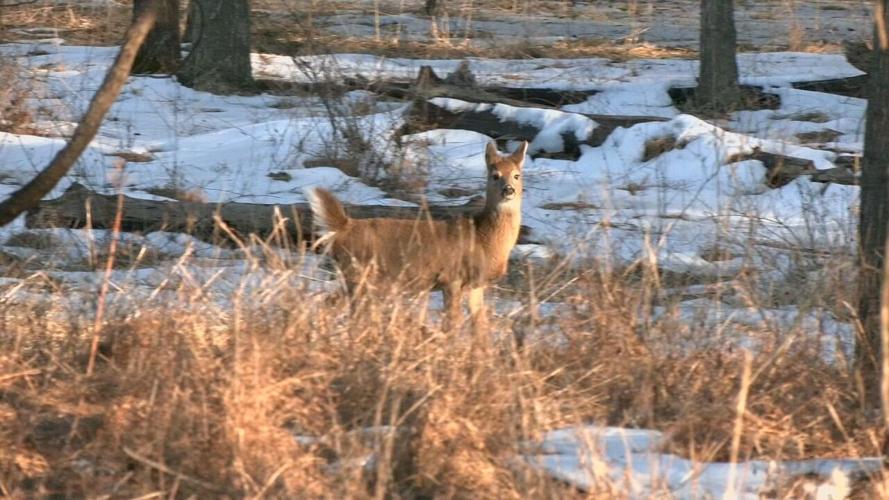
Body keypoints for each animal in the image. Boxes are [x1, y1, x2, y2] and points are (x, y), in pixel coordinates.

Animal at [307, 140, 528, 328]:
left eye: (517, 175)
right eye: (495, 175)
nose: (509, 190)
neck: (483, 238)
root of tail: (344, 226)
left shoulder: (475, 286)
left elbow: (480, 326)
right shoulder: (451, 278)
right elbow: (452, 324)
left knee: (330, 302)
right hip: (359, 274)